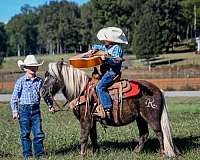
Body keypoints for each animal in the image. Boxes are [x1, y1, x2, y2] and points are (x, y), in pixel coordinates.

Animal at [40, 61, 180, 158]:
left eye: (52, 77)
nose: (42, 92)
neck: (81, 90)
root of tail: (158, 90)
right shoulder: (92, 120)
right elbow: (93, 136)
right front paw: (95, 152)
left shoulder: (85, 120)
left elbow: (84, 137)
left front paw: (82, 154)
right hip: (140, 118)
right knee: (144, 134)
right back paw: (136, 152)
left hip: (151, 117)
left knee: (159, 133)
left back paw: (162, 153)